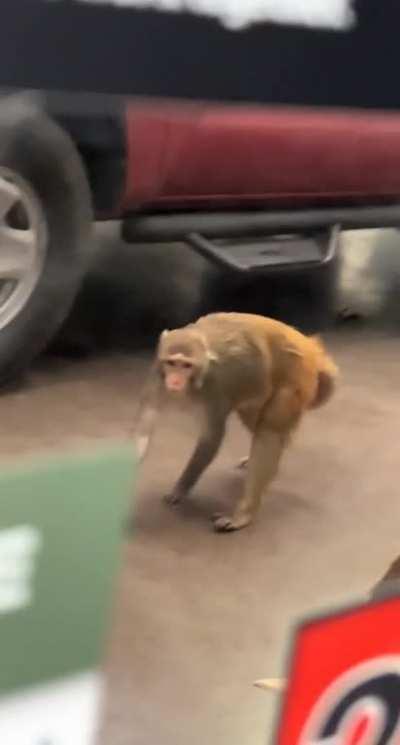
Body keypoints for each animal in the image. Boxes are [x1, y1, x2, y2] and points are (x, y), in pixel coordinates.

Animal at [133, 312, 338, 532]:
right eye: (171, 363)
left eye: (186, 365)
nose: (175, 381)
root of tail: (307, 345)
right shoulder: (157, 377)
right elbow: (144, 427)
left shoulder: (214, 387)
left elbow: (211, 439)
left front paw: (181, 487)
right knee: (253, 417)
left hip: (295, 378)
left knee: (269, 432)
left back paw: (244, 513)